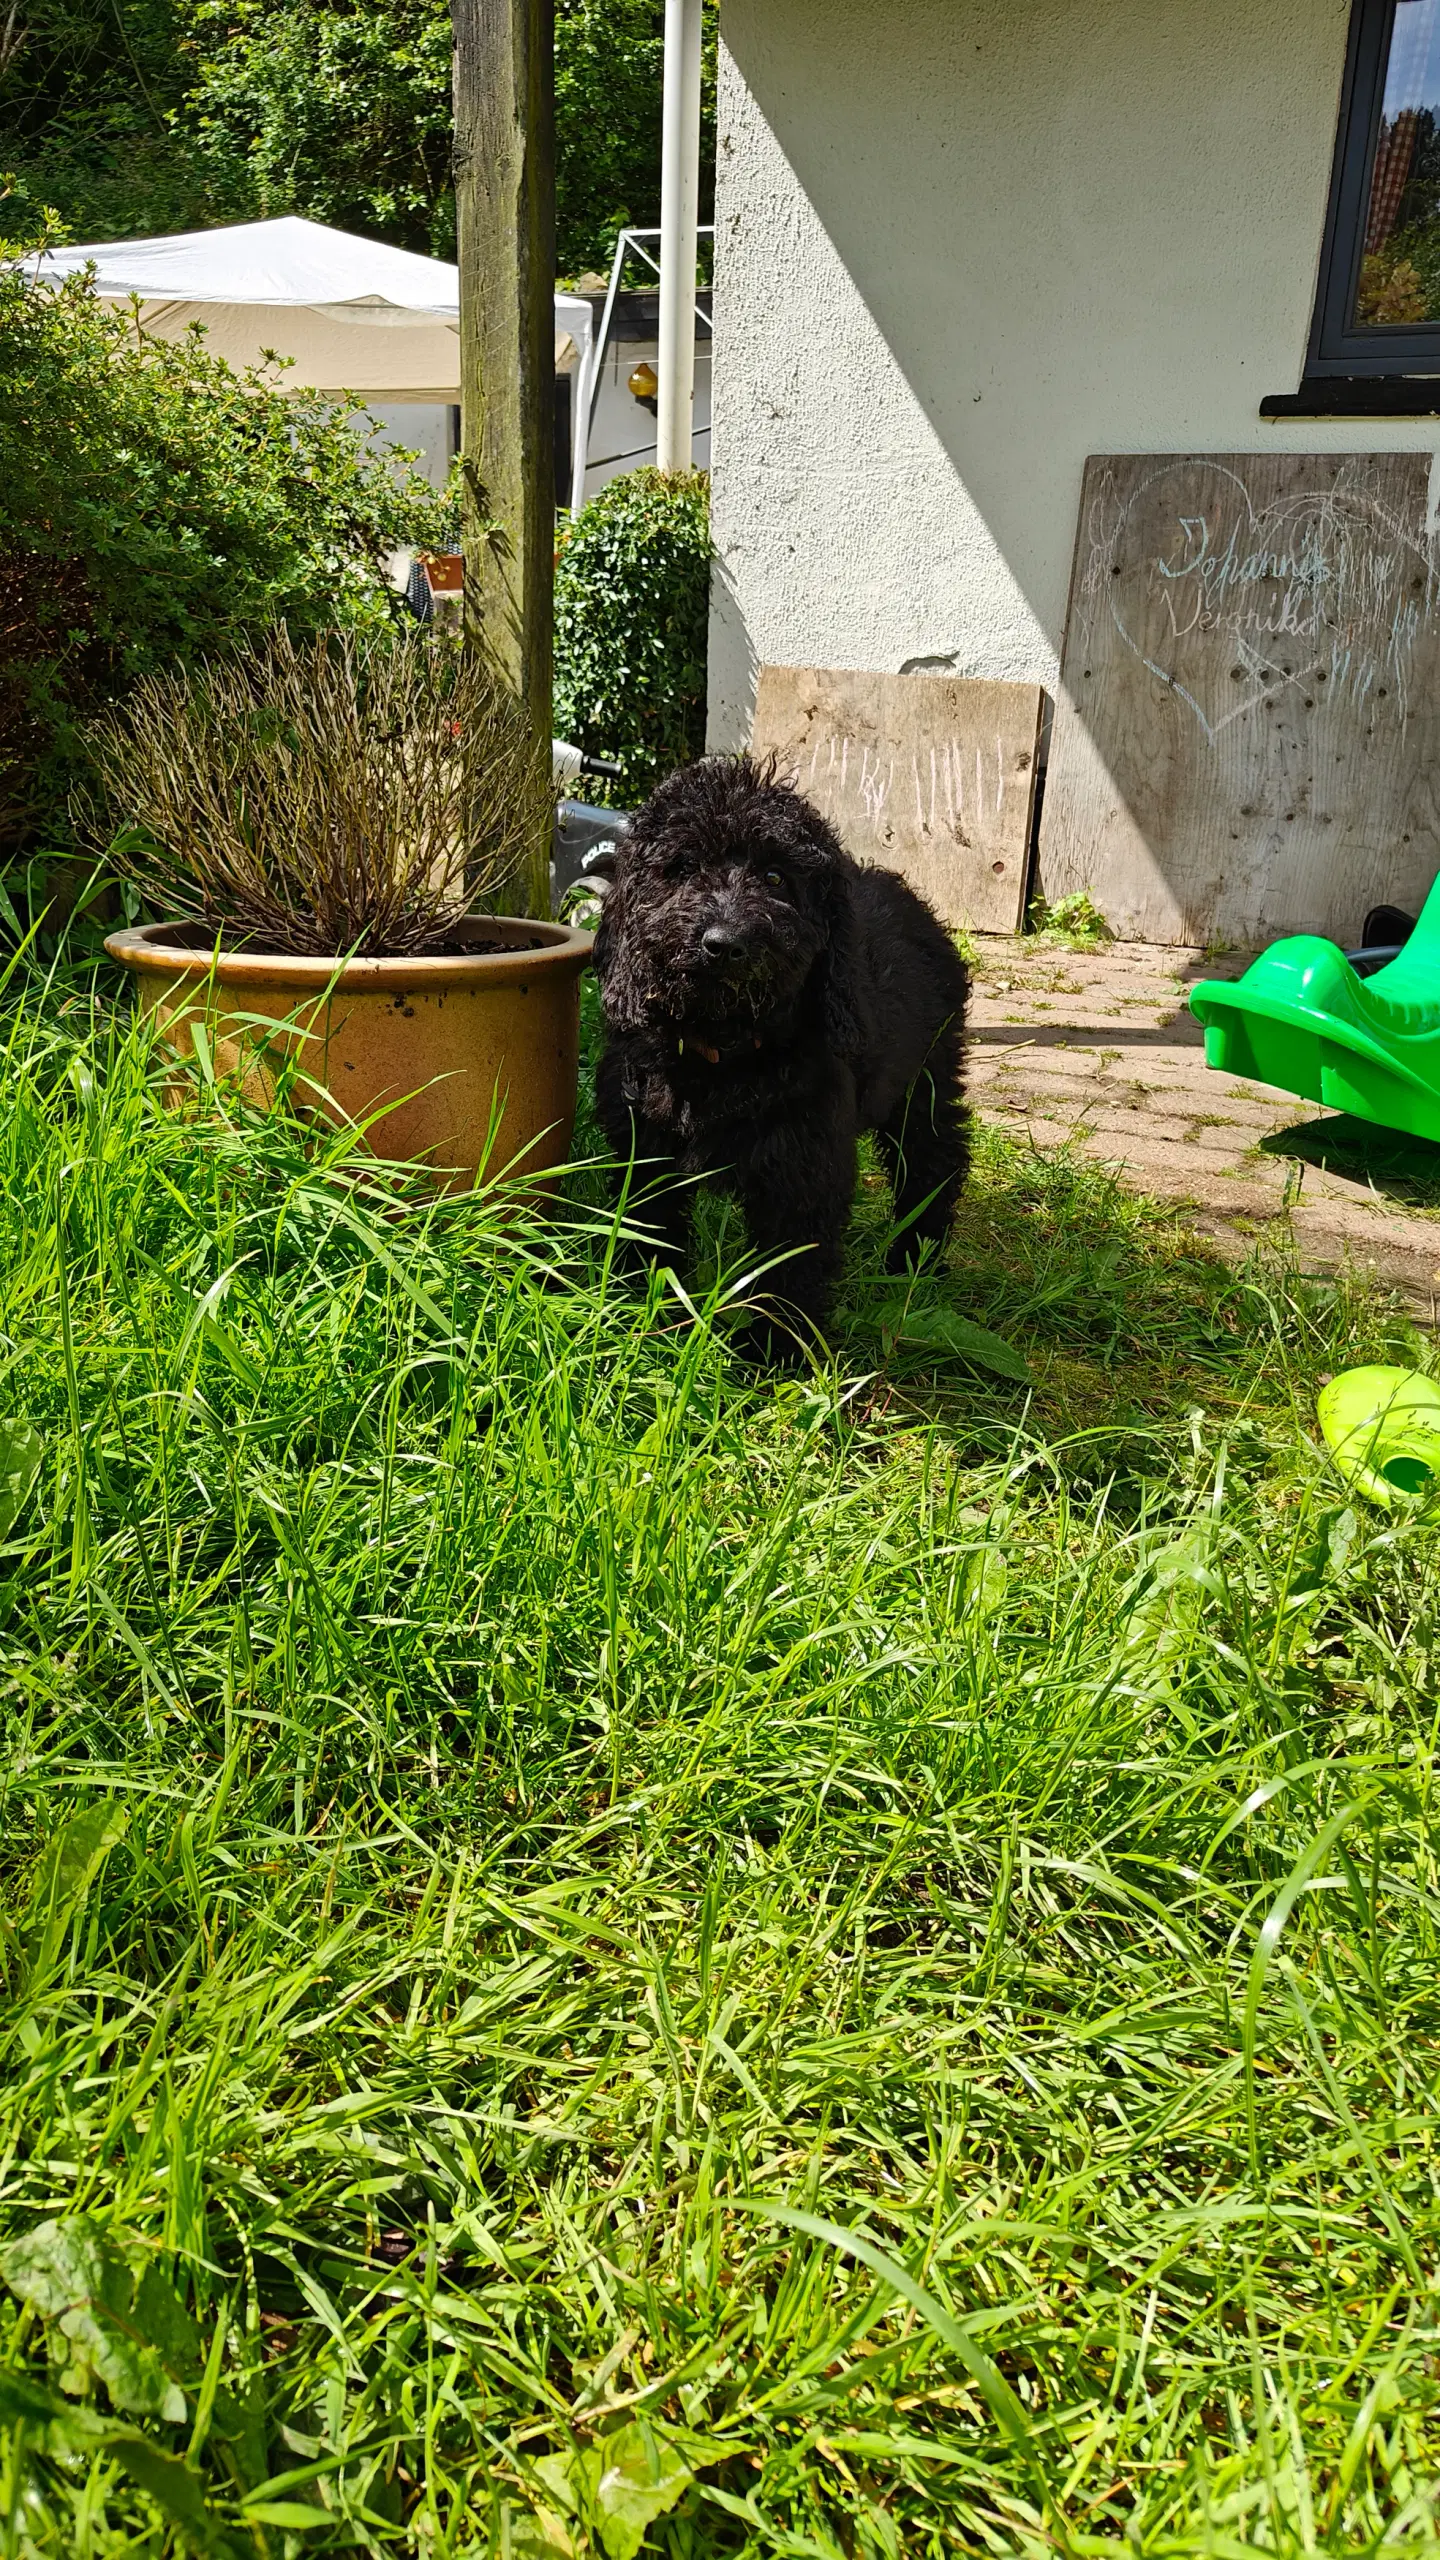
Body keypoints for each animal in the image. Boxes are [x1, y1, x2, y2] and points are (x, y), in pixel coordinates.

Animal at [589, 752, 968, 1361]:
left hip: (926, 1079)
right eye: (683, 867)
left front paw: (777, 1353)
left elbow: (792, 1263)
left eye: (775, 879)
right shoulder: (645, 1147)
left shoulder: (802, 1166)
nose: (723, 944)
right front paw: (641, 1312)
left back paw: (917, 1259)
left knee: (935, 1159)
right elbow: (649, 1226)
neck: (722, 1054)